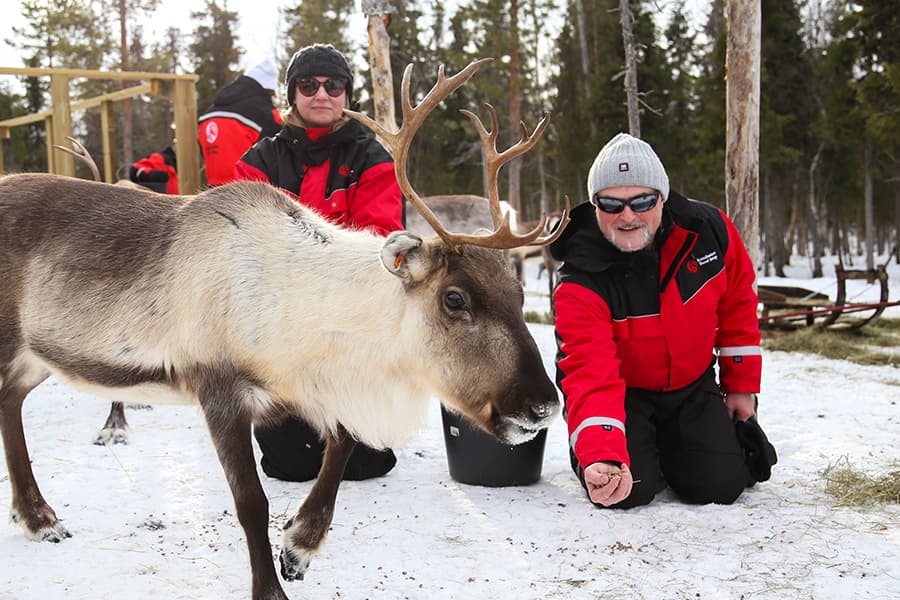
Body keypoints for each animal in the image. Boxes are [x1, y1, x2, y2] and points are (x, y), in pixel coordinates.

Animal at [0, 58, 570, 600]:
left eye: (519, 293)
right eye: (454, 299)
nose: (543, 405)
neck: (300, 305)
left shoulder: (310, 386)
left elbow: (341, 446)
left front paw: (299, 545)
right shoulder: (219, 389)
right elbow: (251, 501)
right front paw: (271, 585)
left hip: (34, 355)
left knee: (10, 401)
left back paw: (36, 515)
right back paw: (40, 514)